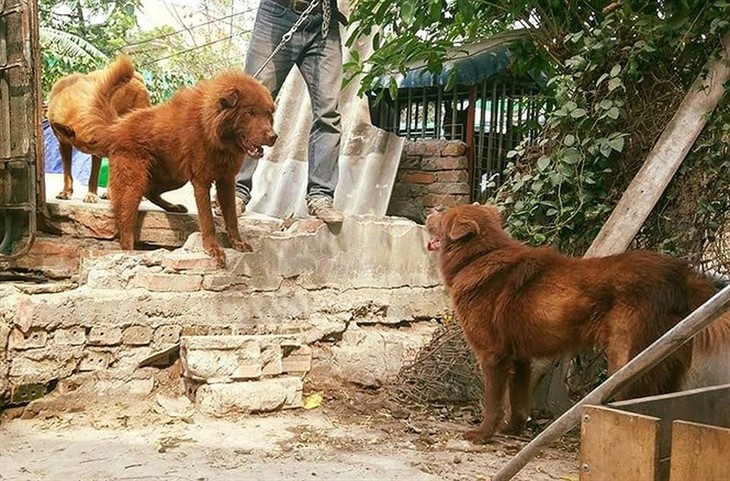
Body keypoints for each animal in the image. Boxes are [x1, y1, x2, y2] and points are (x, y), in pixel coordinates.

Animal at [46, 55, 151, 202]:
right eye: (92, 141)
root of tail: (137, 78)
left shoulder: (97, 151)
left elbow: (93, 175)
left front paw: (91, 195)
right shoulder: (64, 144)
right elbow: (67, 173)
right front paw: (66, 192)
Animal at [85, 56, 278, 266]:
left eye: (269, 114)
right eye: (250, 113)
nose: (274, 136)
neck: (211, 130)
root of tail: (116, 127)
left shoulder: (226, 180)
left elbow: (232, 218)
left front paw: (237, 242)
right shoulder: (201, 182)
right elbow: (207, 220)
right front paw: (213, 249)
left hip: (174, 176)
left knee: (151, 192)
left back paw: (173, 207)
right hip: (134, 184)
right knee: (126, 226)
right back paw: (130, 252)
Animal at [424, 202, 728, 442]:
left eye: (443, 215)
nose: (429, 211)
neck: (480, 256)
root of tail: (680, 275)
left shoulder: (493, 356)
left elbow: (494, 403)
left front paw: (483, 434)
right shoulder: (520, 358)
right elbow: (519, 400)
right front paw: (513, 430)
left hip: (628, 359)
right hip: (668, 360)